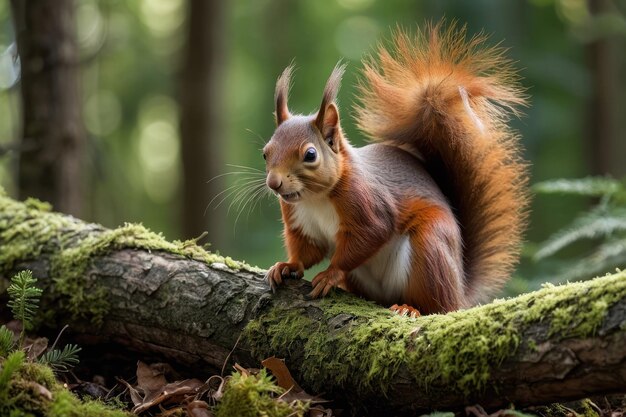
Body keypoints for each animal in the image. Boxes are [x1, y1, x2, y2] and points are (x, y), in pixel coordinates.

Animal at [260, 22, 528, 314]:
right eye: (265, 153)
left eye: (310, 154)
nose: (274, 183)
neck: (315, 199)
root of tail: (459, 292)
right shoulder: (300, 222)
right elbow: (307, 251)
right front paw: (286, 266)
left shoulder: (366, 202)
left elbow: (369, 235)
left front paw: (330, 274)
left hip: (430, 249)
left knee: (436, 304)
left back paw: (410, 308)